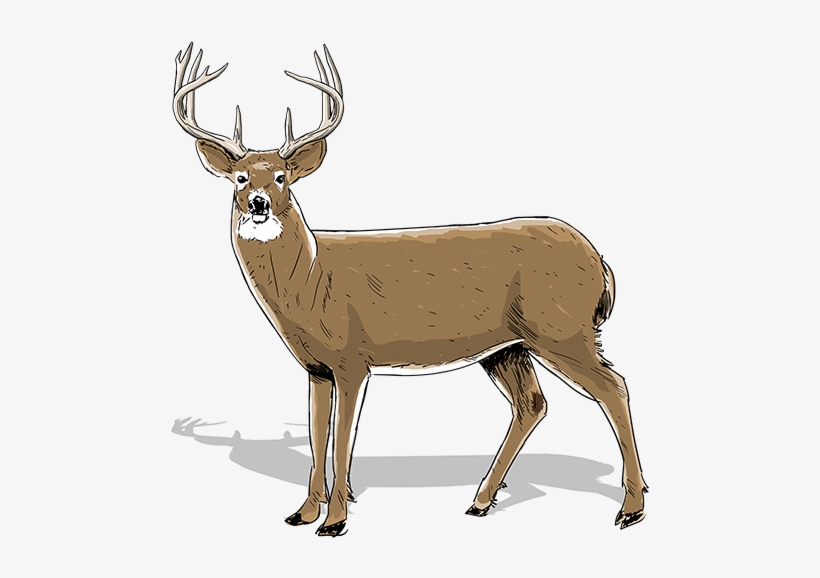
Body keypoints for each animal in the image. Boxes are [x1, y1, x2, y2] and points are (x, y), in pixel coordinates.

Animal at [172, 43, 647, 537]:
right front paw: (303, 512)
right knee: (532, 403)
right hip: (508, 346)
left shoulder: (352, 357)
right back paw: (481, 499)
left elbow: (342, 439)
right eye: (240, 177)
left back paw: (630, 507)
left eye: (283, 176)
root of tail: (600, 260)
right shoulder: (316, 367)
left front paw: (335, 520)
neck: (310, 279)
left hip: (562, 328)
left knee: (614, 386)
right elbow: (316, 434)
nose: (259, 203)